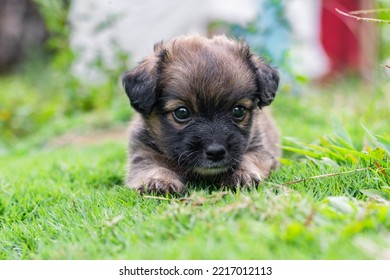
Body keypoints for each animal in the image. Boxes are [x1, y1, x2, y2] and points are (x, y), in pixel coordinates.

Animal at [122, 34, 280, 195]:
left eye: (239, 110)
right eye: (181, 113)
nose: (216, 152)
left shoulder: (259, 148)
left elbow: (250, 158)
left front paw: (242, 174)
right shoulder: (143, 152)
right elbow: (152, 165)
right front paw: (158, 181)